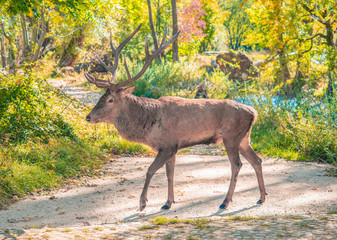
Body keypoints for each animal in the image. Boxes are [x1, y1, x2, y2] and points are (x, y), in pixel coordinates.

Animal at [83, 24, 266, 212]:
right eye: (101, 97)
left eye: (110, 100)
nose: (89, 117)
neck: (148, 125)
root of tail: (253, 112)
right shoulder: (172, 147)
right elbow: (169, 174)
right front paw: (168, 202)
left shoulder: (169, 145)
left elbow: (150, 170)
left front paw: (142, 203)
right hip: (244, 138)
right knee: (257, 160)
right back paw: (261, 197)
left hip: (231, 136)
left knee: (237, 164)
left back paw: (225, 201)